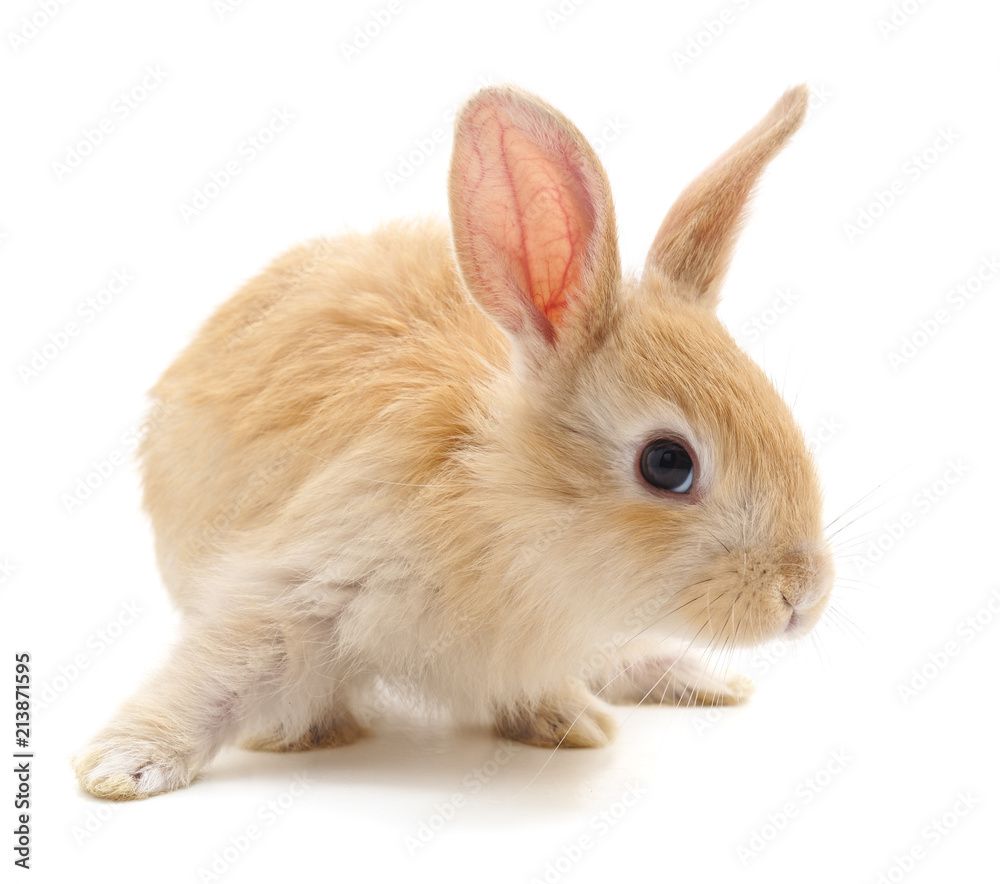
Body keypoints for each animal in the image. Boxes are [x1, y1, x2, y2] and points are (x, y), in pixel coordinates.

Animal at [73, 83, 833, 800]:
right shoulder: (306, 586)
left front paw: (569, 716)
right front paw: (122, 766)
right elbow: (216, 677)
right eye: (668, 463)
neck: (506, 511)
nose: (802, 597)